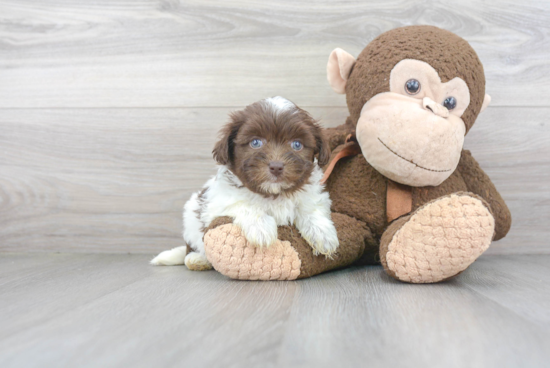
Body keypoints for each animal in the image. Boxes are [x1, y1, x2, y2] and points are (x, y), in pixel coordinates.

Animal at [153, 98, 338, 270]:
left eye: (297, 144)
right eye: (255, 142)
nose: (276, 166)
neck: (272, 194)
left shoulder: (311, 195)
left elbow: (310, 208)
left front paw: (323, 234)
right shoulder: (217, 202)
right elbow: (244, 204)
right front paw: (261, 228)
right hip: (191, 217)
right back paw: (197, 259)